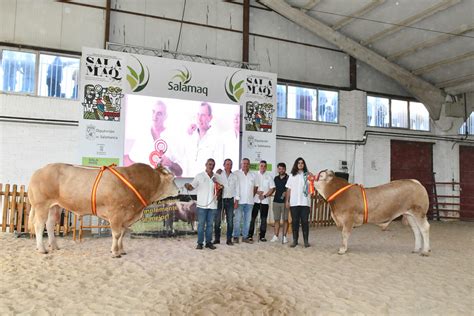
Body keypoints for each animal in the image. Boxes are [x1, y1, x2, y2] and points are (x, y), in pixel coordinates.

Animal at [28, 163, 180, 256]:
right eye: (172, 178)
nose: (179, 191)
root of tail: (39, 171)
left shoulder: (125, 217)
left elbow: (122, 234)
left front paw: (121, 250)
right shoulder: (116, 214)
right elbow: (117, 234)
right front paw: (115, 252)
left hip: (55, 206)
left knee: (50, 224)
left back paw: (54, 246)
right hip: (41, 205)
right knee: (39, 225)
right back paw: (42, 249)